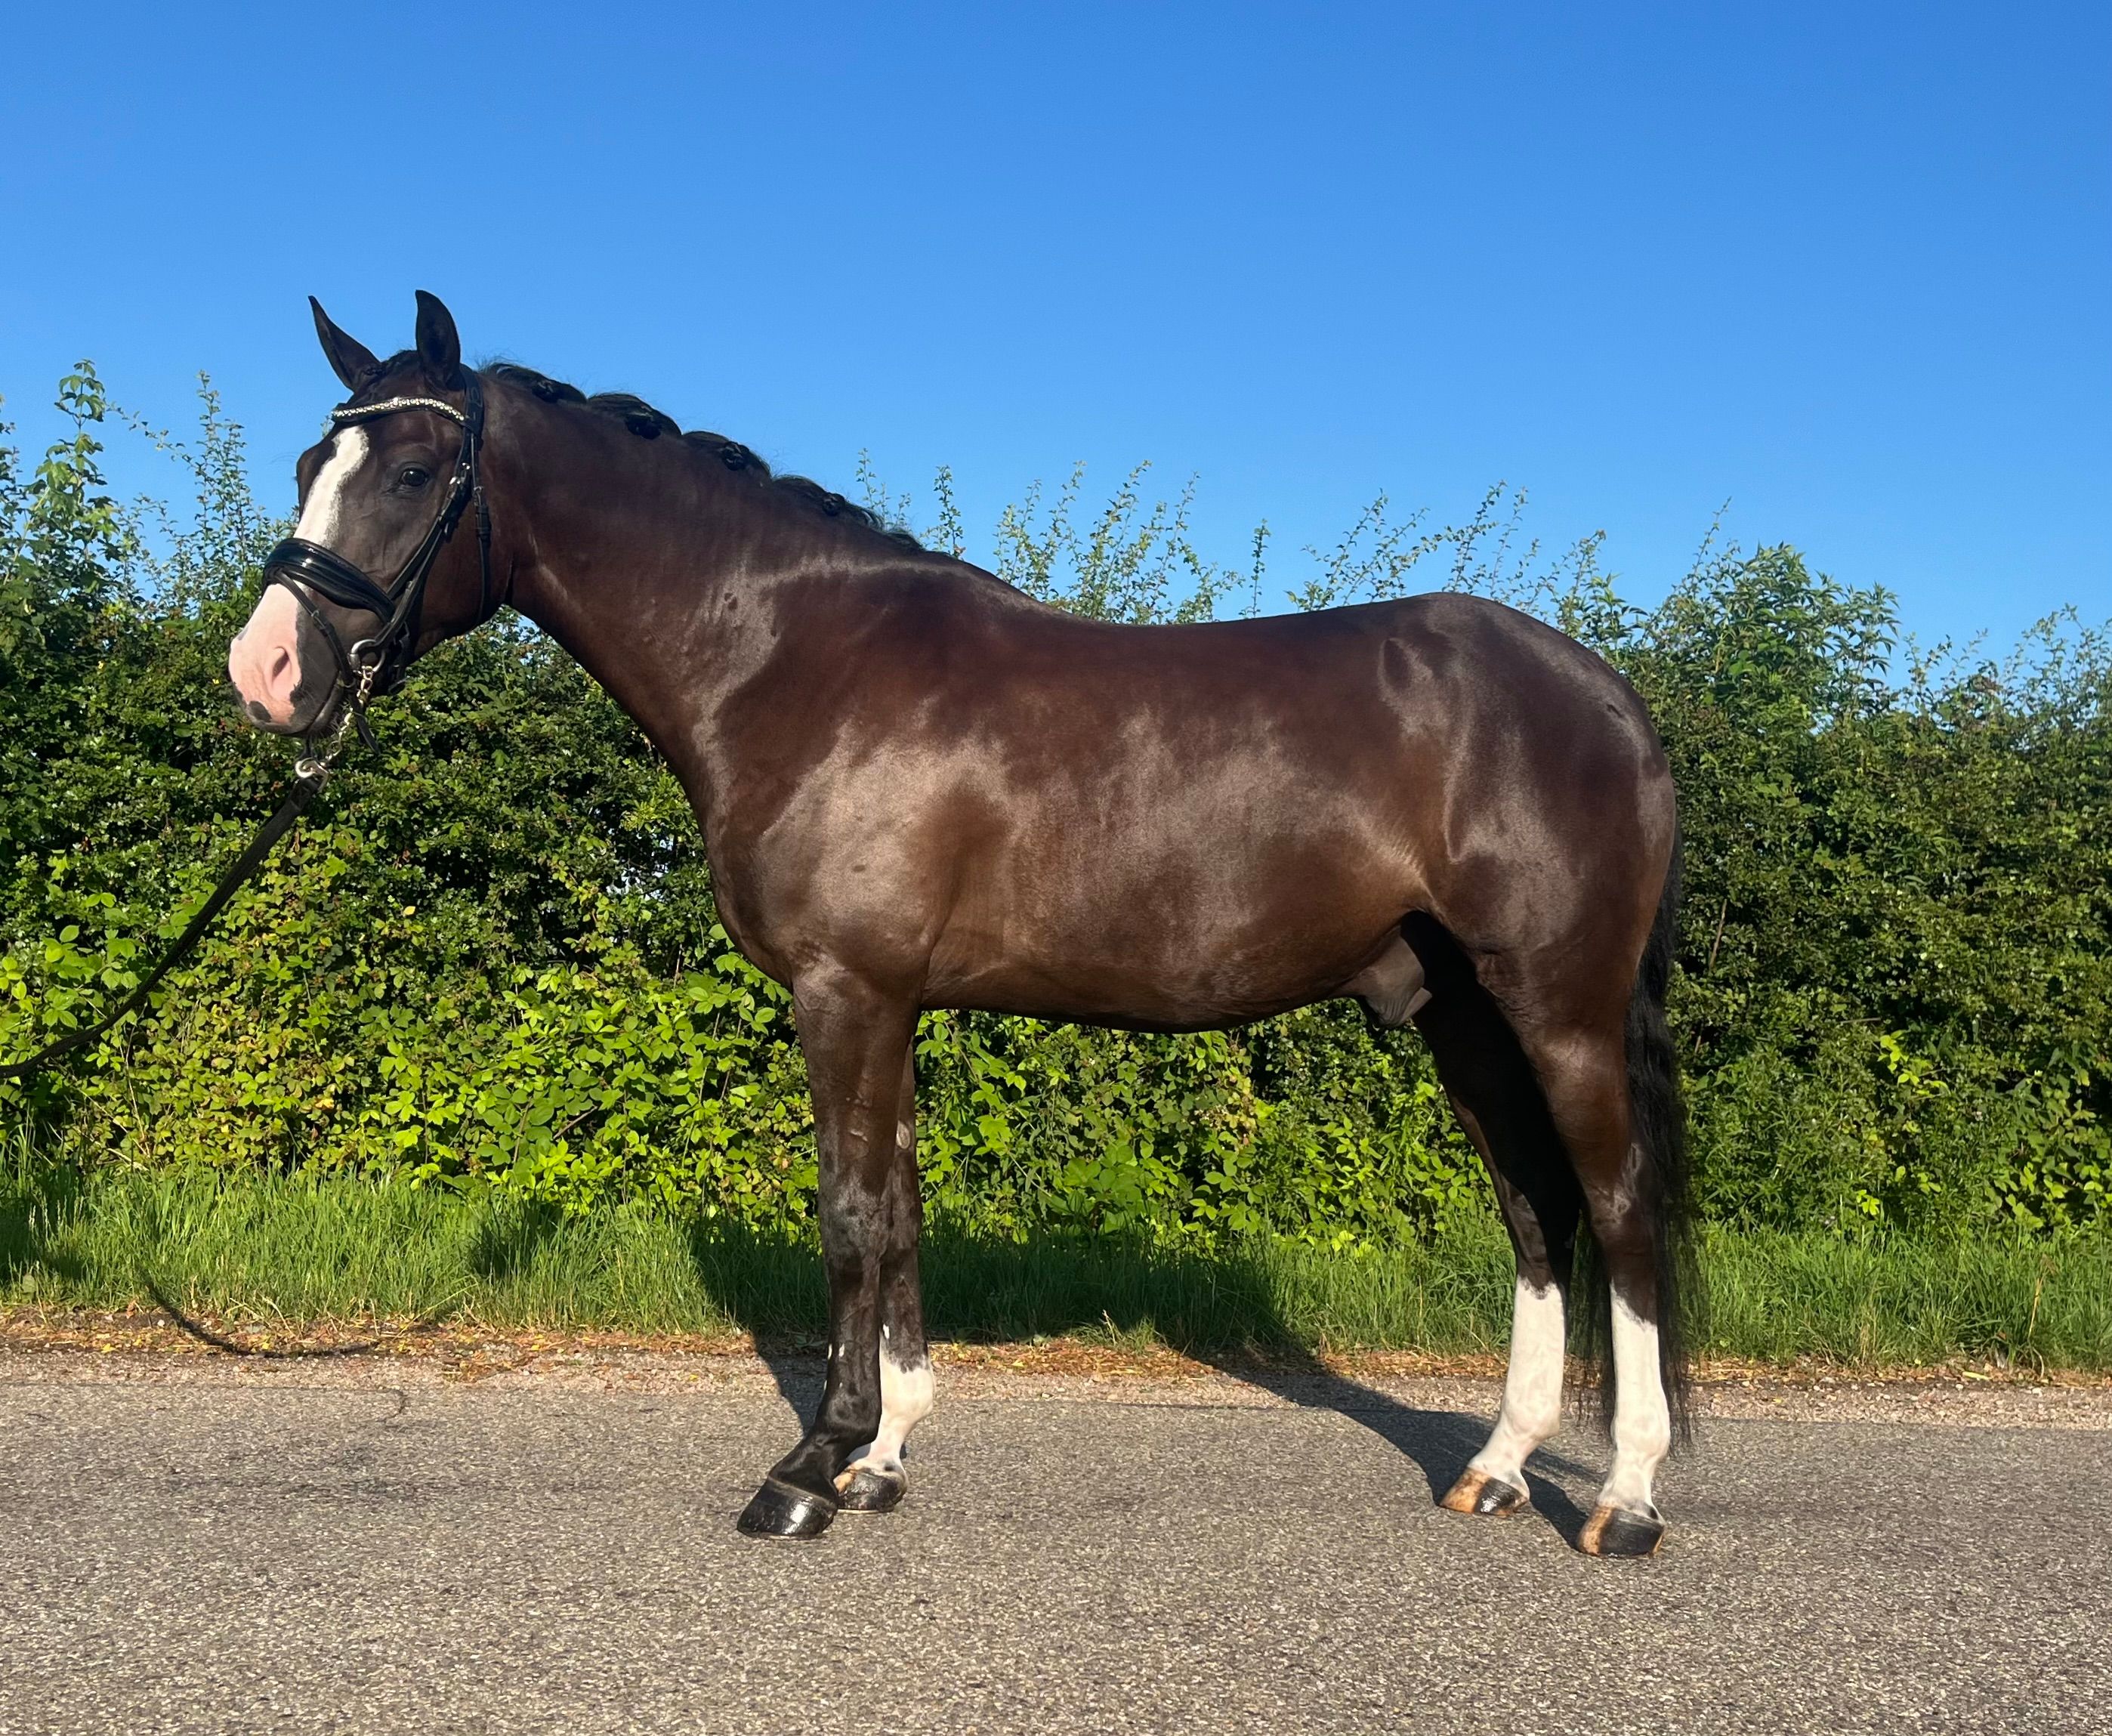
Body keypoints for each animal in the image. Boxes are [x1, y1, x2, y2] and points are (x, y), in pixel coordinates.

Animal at [228, 292, 1691, 1557]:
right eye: (309, 458)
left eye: (414, 473)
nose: (268, 674)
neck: (797, 662)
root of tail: (1608, 696)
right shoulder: (894, 1003)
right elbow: (901, 1208)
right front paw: (881, 1458)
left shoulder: (844, 992)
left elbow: (848, 1212)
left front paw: (809, 1467)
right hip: (1461, 1015)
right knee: (1532, 1209)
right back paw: (1499, 1465)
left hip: (1555, 1006)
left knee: (1616, 1207)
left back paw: (1625, 1499)